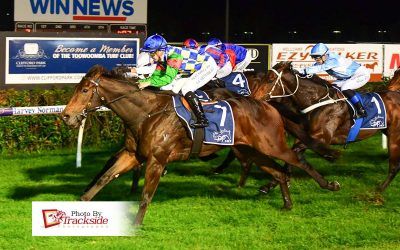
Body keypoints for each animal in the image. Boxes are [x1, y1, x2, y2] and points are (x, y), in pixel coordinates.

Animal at [61, 64, 340, 225]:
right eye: (76, 88)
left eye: (84, 91)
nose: (65, 116)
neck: (146, 113)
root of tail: (268, 105)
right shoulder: (132, 154)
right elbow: (104, 178)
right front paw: (79, 204)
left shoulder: (157, 160)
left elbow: (146, 196)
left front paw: (136, 225)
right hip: (251, 150)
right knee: (280, 172)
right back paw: (287, 204)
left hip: (272, 145)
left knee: (298, 160)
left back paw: (329, 185)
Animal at [260, 61, 400, 192]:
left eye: (271, 79)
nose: (257, 97)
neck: (318, 100)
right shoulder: (306, 135)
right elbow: (294, 152)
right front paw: (271, 184)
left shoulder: (322, 137)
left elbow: (295, 151)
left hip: (394, 135)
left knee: (394, 166)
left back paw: (379, 189)